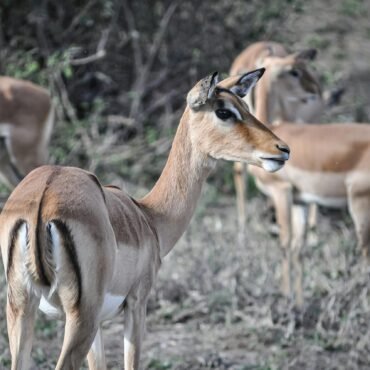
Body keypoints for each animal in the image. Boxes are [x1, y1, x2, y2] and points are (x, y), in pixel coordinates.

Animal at [0, 70, 290, 370]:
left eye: (244, 106)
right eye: (224, 111)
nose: (282, 149)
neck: (150, 217)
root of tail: (43, 199)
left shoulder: (101, 322)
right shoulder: (137, 304)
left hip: (22, 308)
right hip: (80, 316)